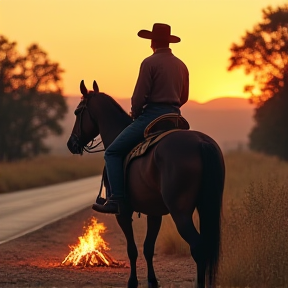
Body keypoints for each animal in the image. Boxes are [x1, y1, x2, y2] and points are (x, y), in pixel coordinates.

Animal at [67, 79, 225, 288]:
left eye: (78, 112)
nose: (71, 144)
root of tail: (201, 142)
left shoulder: (122, 212)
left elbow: (132, 249)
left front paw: (132, 282)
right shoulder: (154, 212)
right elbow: (148, 248)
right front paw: (152, 281)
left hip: (181, 213)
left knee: (198, 247)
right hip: (205, 204)